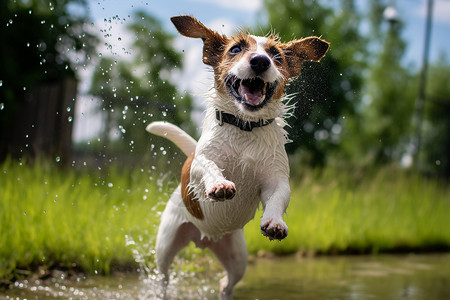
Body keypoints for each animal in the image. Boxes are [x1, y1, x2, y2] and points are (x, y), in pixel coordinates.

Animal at [146, 15, 328, 298]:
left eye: (276, 55)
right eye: (235, 49)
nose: (260, 61)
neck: (245, 126)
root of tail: (205, 239)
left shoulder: (276, 179)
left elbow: (278, 197)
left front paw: (274, 222)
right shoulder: (199, 165)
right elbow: (209, 167)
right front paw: (220, 184)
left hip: (238, 258)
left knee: (226, 283)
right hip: (166, 246)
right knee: (164, 277)